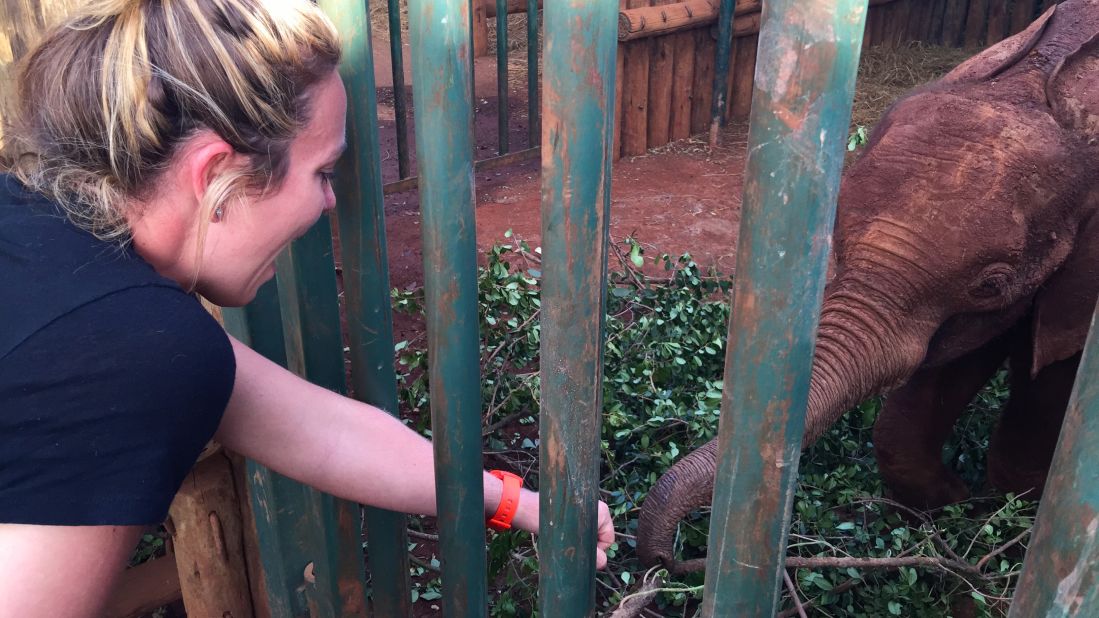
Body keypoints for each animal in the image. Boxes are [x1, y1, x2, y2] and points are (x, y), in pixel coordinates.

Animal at [637, 0, 1099, 571]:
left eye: (993, 284)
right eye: (835, 230)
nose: (673, 561)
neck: (1044, 81)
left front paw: (998, 518)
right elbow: (931, 389)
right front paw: (952, 506)